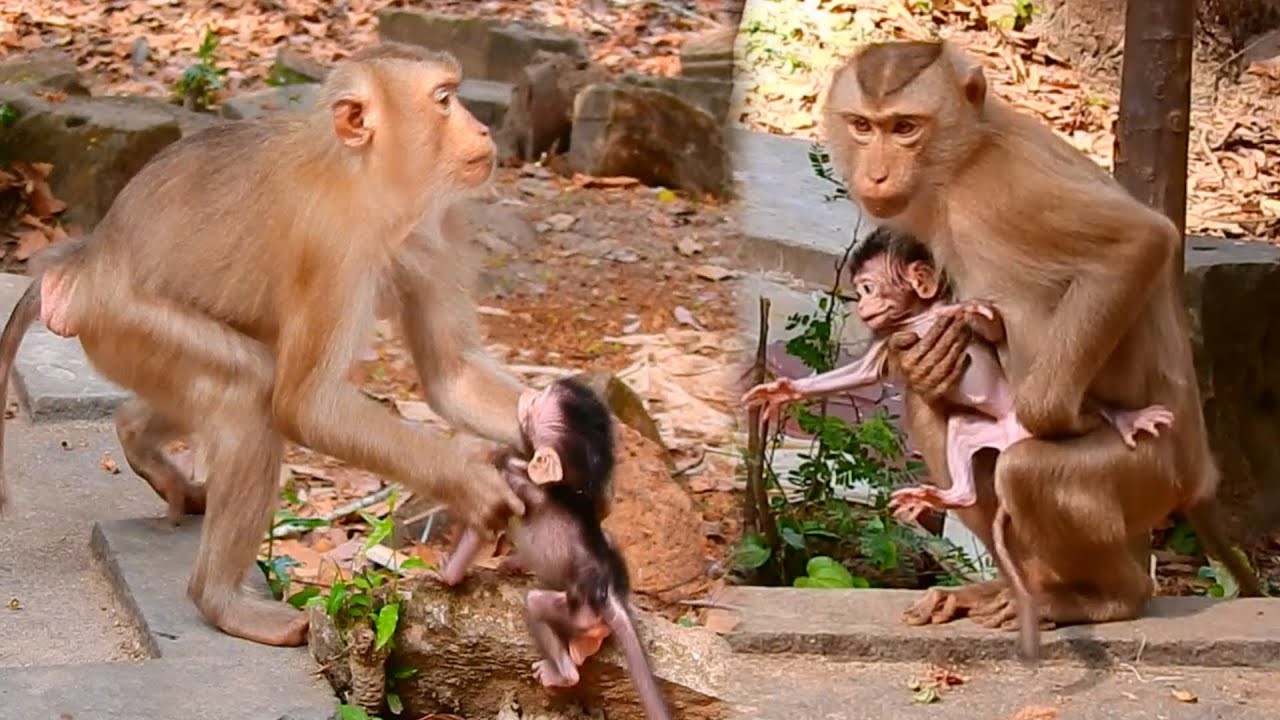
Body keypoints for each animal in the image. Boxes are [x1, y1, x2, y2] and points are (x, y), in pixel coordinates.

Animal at [0, 43, 537, 648]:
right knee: (248, 388)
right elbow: (305, 407)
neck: (362, 177)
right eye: (444, 100)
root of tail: (82, 266)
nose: (483, 130)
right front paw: (472, 483)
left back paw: (138, 437)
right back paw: (220, 601)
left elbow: (452, 375)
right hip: (123, 322)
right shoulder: (330, 245)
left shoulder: (437, 227)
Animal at [822, 39, 1262, 661]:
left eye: (905, 127)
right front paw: (927, 365)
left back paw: (1104, 598)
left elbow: (1138, 243)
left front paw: (1064, 416)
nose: (877, 172)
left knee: (1029, 470)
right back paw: (1018, 588)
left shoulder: (1006, 191)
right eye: (863, 125)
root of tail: (1199, 477)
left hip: (1147, 478)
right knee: (937, 418)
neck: (965, 157)